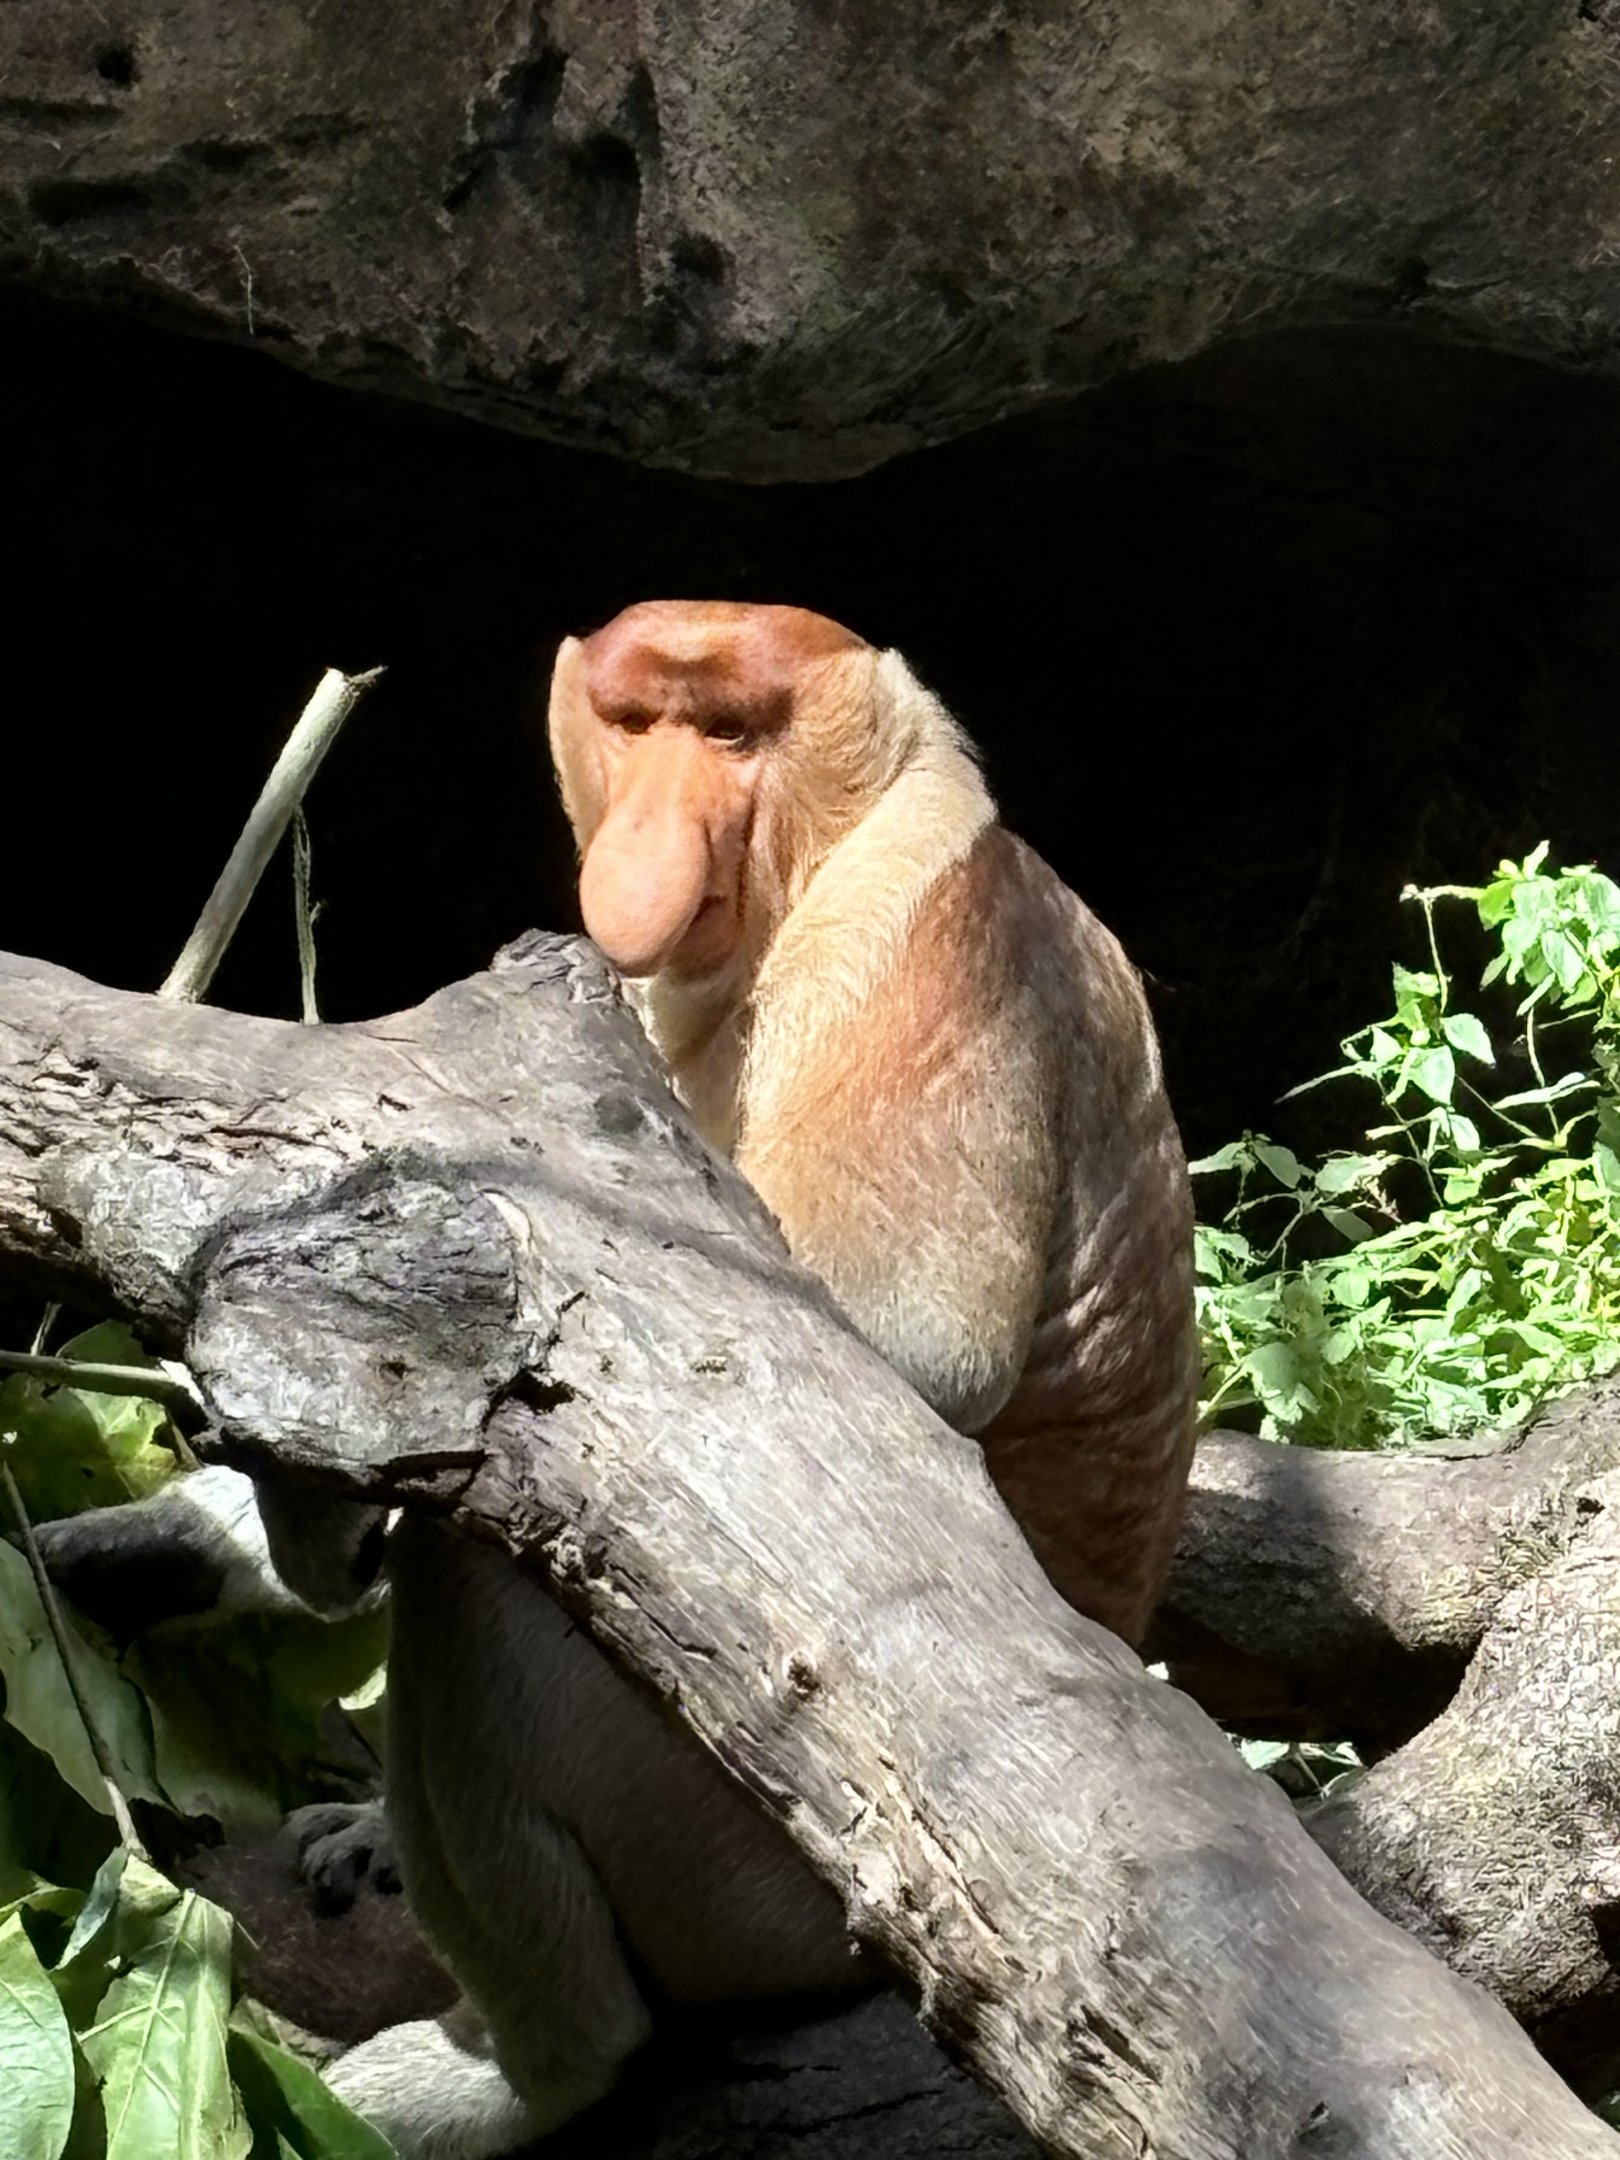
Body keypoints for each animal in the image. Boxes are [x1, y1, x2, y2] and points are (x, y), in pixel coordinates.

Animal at [320, 603, 1197, 2159]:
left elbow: (903, 1348)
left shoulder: (929, 937)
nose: (649, 851)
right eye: (638, 723)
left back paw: (535, 2068)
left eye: (731, 733)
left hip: (759, 1870)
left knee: (477, 1575)